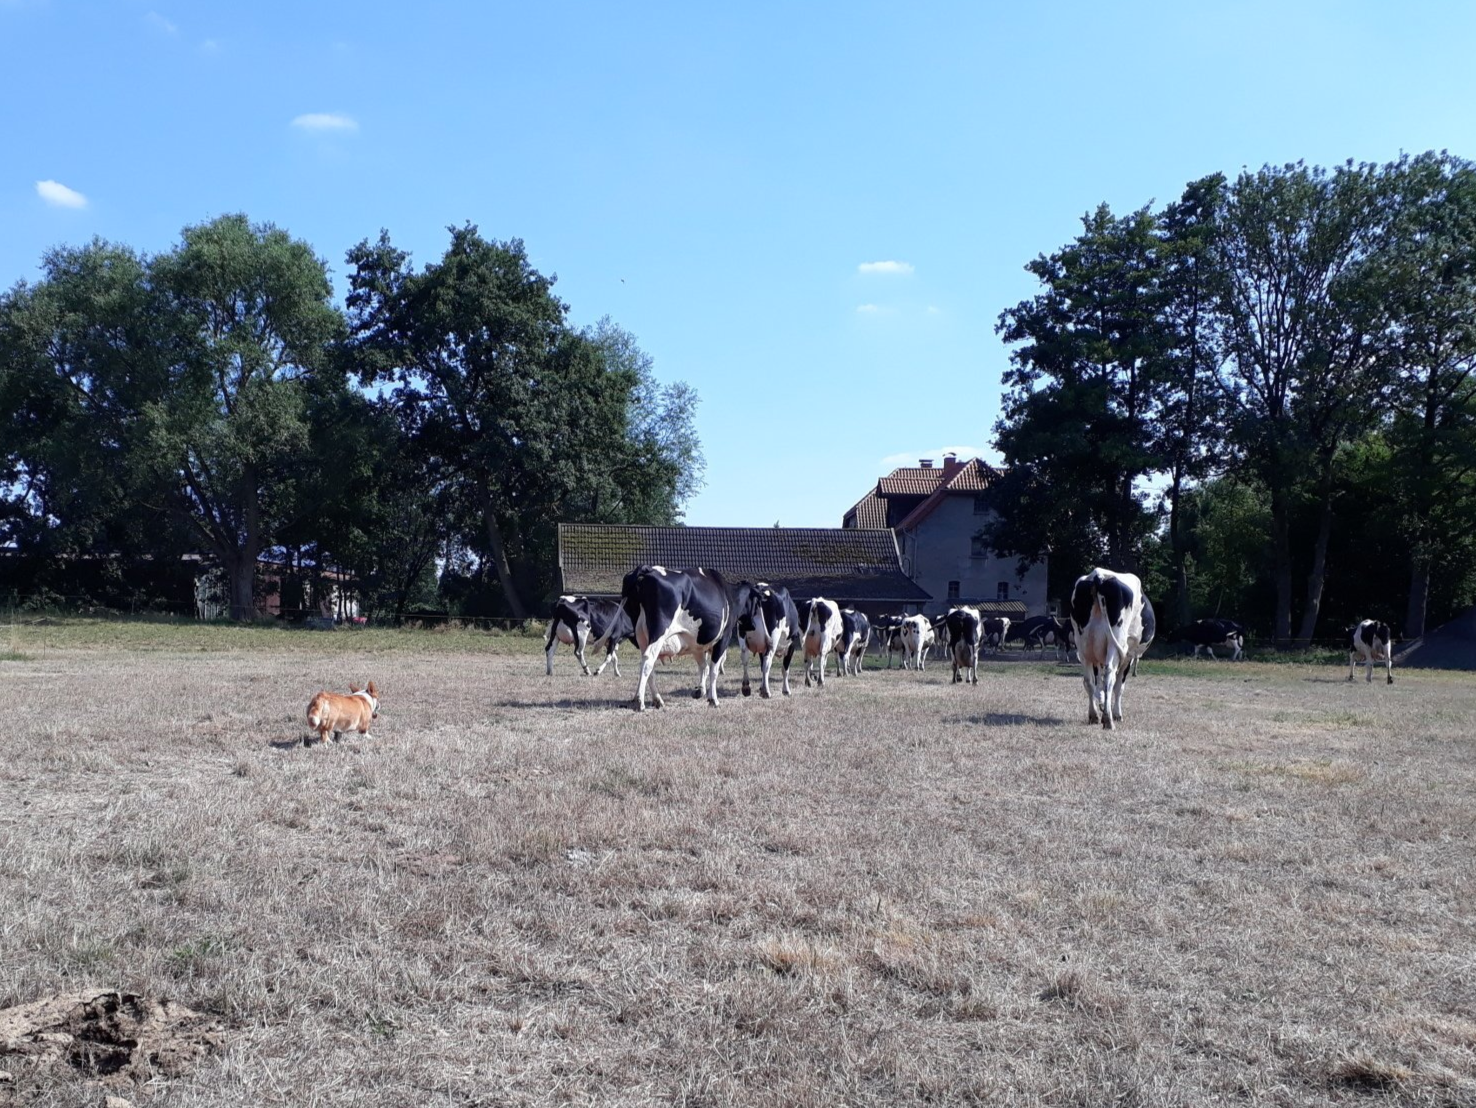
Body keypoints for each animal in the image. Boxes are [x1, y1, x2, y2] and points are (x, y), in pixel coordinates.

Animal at [621, 565, 736, 711]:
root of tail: (647, 569)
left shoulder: (696, 645)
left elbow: (703, 666)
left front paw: (700, 690)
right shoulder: (724, 637)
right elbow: (713, 669)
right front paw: (713, 699)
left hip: (641, 635)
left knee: (646, 662)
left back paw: (657, 699)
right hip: (659, 630)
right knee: (648, 660)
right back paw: (639, 701)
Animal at [1070, 567, 1150, 730]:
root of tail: (1098, 575)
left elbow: (1098, 683)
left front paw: (1100, 704)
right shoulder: (1128, 656)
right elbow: (1119, 687)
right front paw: (1117, 714)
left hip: (1083, 646)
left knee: (1088, 680)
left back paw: (1094, 715)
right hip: (1116, 643)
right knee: (1109, 677)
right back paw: (1108, 719)